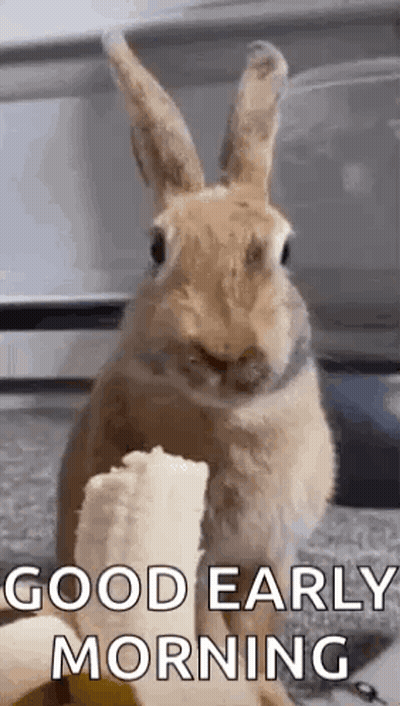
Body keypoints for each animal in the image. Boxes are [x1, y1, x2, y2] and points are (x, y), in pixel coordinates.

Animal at [56, 33, 335, 706]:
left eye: (286, 250)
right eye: (156, 248)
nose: (226, 351)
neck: (228, 416)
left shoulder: (268, 559)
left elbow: (258, 632)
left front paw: (270, 693)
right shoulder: (196, 562)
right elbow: (209, 628)